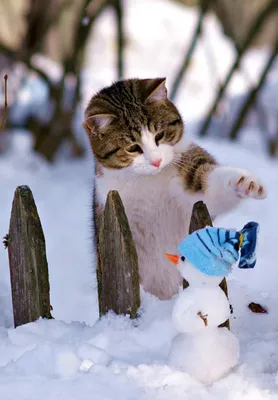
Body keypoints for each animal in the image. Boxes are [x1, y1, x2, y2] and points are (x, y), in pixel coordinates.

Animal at [83, 77, 268, 300]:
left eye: (160, 135)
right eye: (132, 148)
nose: (156, 161)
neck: (150, 180)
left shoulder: (189, 175)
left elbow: (212, 189)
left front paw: (245, 182)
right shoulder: (110, 201)